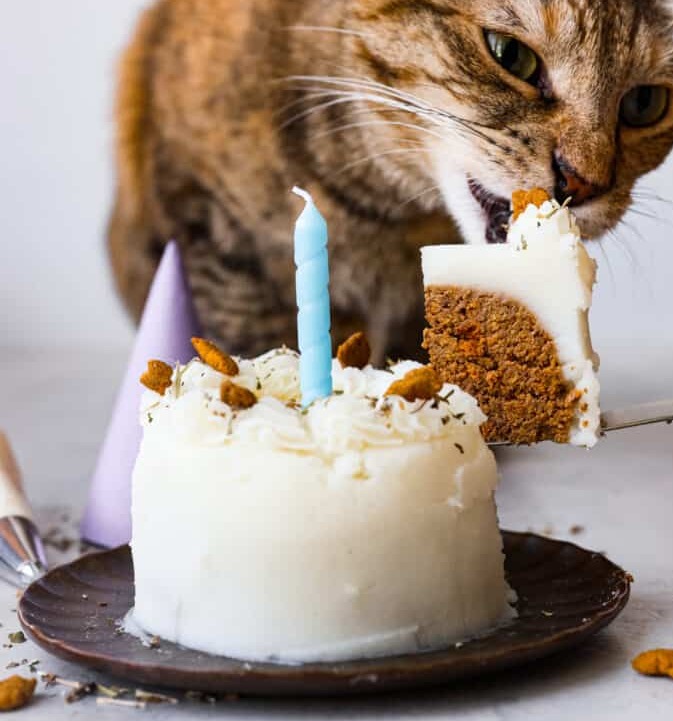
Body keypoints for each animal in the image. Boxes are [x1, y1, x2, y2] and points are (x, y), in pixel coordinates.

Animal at [107, 0, 672, 360]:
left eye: (645, 103)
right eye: (510, 53)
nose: (583, 183)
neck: (388, 218)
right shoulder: (214, 233)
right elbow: (259, 343)